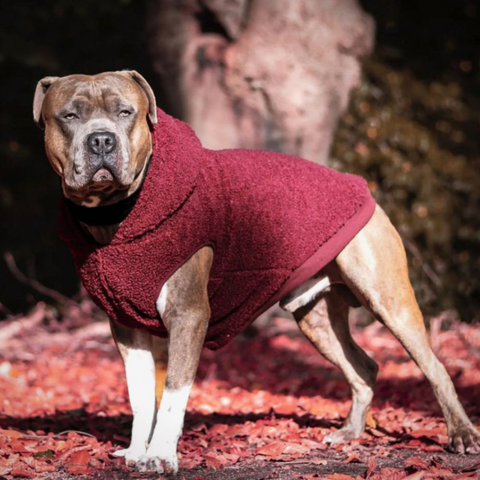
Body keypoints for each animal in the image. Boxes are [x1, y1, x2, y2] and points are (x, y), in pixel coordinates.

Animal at [33, 70, 480, 472]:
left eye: (125, 112)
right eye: (69, 116)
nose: (101, 139)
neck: (116, 215)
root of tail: (357, 182)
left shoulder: (188, 316)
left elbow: (174, 392)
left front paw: (160, 456)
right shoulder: (126, 329)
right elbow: (141, 396)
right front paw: (135, 452)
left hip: (388, 298)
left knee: (435, 367)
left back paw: (461, 435)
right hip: (316, 318)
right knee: (363, 366)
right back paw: (350, 433)